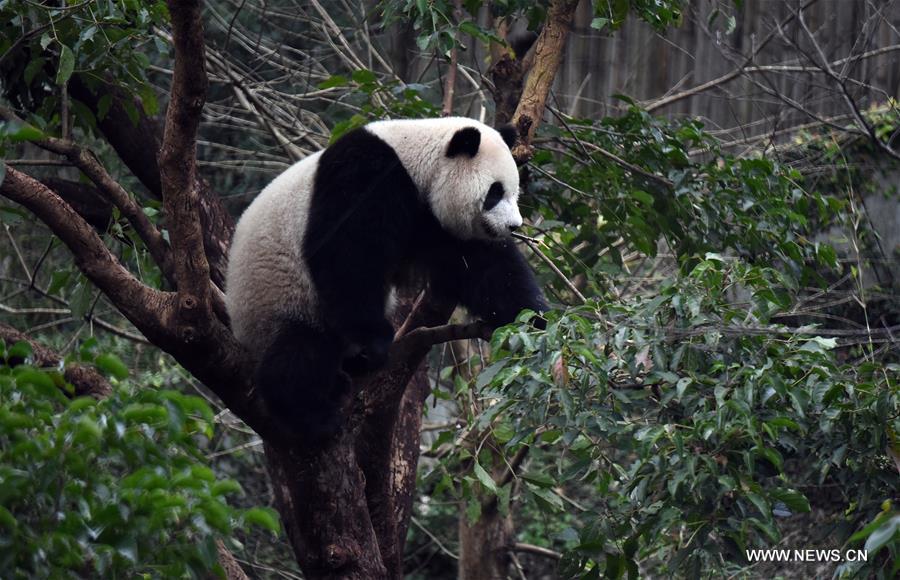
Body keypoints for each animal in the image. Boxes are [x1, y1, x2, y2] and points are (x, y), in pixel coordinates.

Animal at [229, 115, 544, 438]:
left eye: (514, 192)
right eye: (495, 192)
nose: (513, 225)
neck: (416, 159)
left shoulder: (434, 221)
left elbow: (484, 266)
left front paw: (533, 321)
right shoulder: (365, 175)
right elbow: (347, 254)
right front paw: (376, 340)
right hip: (280, 300)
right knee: (300, 352)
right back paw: (312, 414)